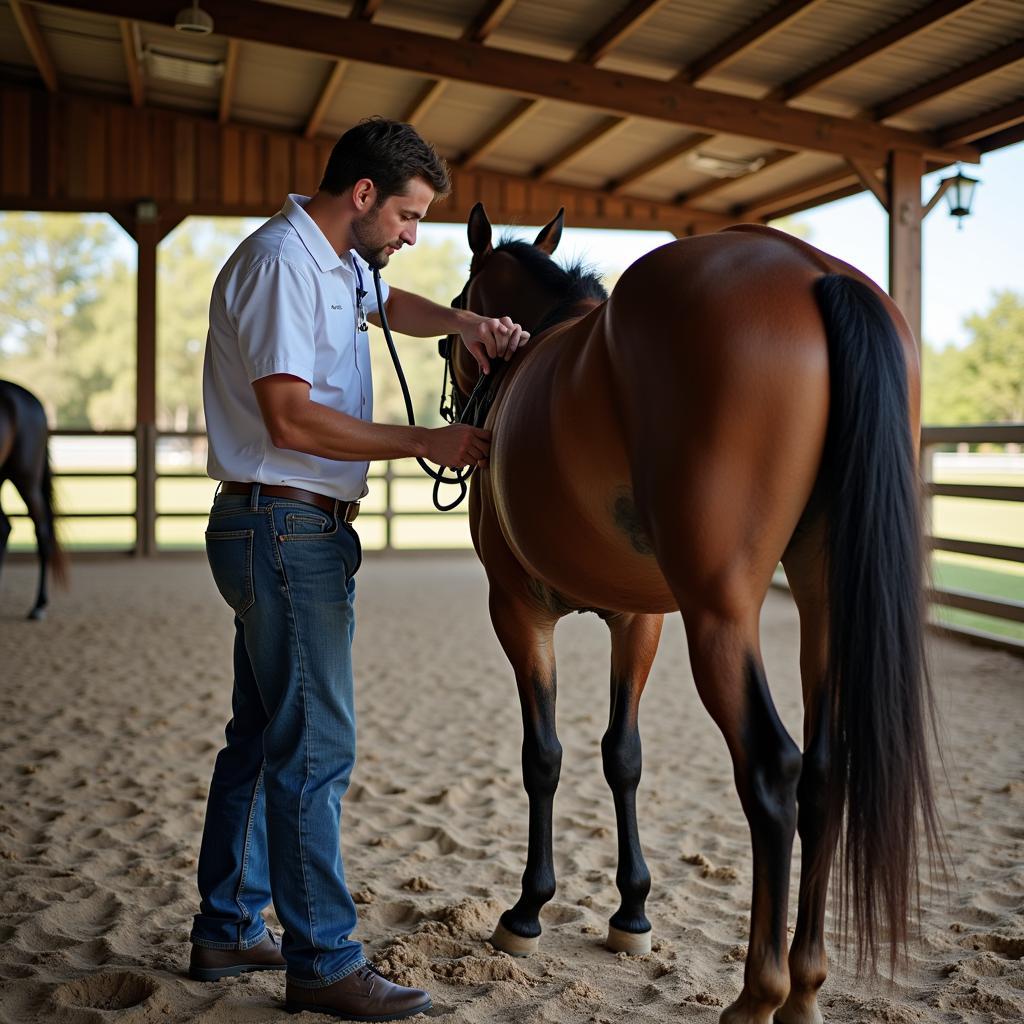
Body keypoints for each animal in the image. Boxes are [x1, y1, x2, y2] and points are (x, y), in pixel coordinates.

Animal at [448, 205, 942, 1024]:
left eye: (456, 313)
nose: (460, 420)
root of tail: (814, 272)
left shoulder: (515, 609)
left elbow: (542, 757)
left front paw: (527, 911)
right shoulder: (639, 618)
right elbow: (623, 755)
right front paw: (631, 913)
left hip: (721, 614)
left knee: (773, 769)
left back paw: (758, 994)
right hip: (823, 601)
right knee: (824, 772)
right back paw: (806, 987)